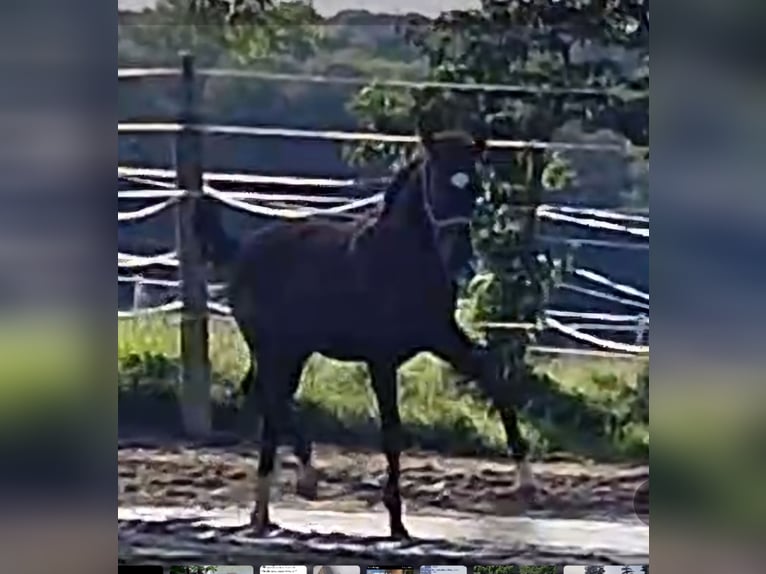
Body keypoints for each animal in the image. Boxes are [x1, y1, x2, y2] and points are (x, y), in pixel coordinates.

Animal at [195, 129, 536, 540]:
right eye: (438, 182)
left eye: (474, 185)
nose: (460, 254)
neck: (400, 260)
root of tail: (241, 250)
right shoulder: (381, 358)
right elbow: (391, 430)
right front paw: (396, 520)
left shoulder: (442, 338)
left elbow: (494, 380)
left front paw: (526, 479)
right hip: (275, 347)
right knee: (270, 400)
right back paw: (297, 485)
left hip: (293, 352)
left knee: (270, 402)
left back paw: (268, 509)